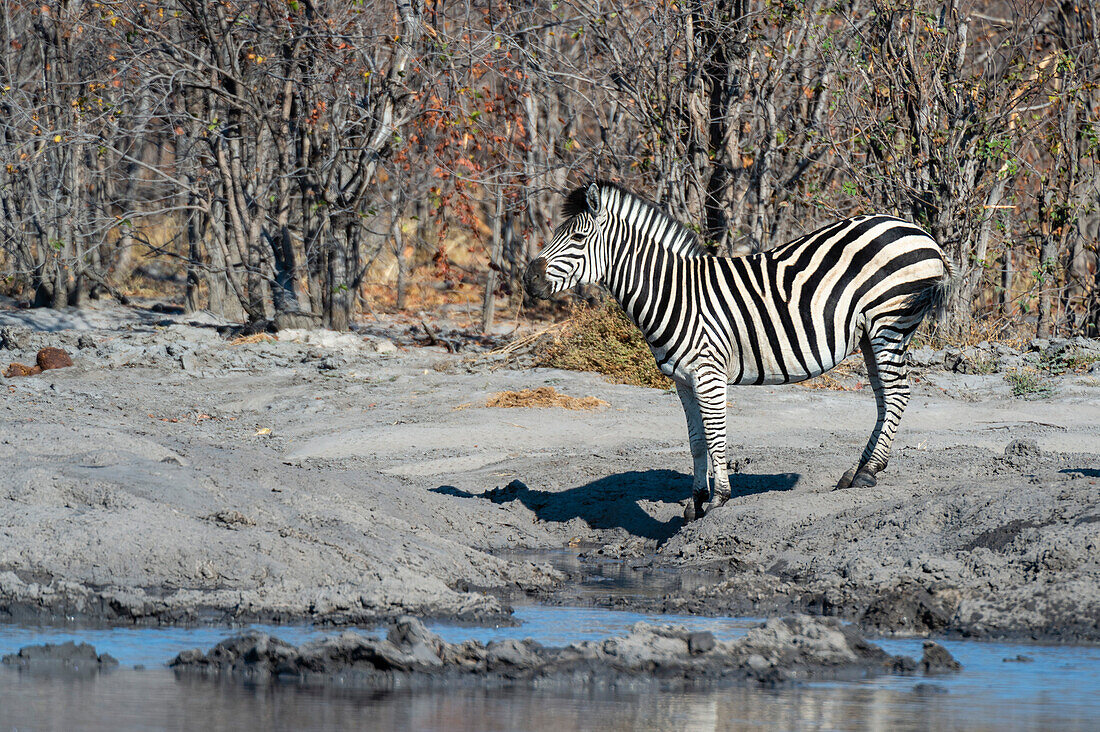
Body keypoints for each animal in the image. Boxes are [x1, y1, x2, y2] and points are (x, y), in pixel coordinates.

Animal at [523, 182, 954, 526]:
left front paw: (718, 500)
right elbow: (696, 439)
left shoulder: (709, 373)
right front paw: (695, 502)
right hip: (870, 334)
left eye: (578, 239)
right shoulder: (682, 380)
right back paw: (858, 470)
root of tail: (917, 231)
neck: (674, 293)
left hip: (891, 321)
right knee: (884, 398)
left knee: (897, 394)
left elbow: (716, 436)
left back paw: (869, 473)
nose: (528, 279)